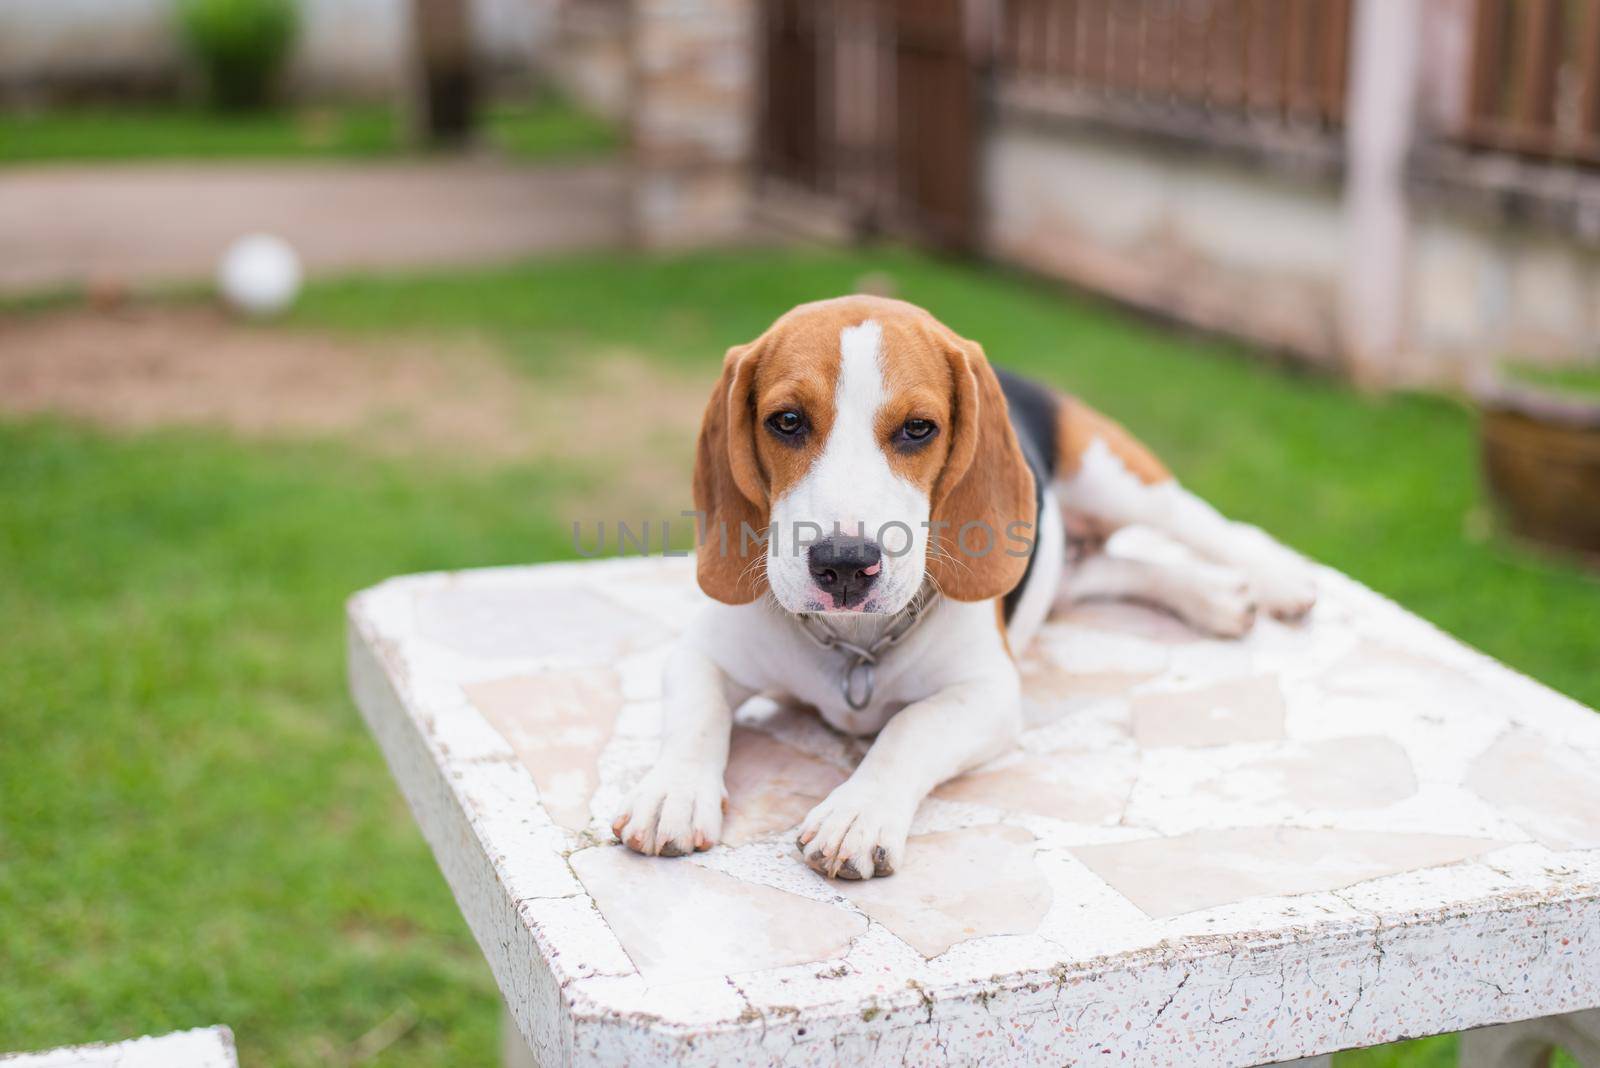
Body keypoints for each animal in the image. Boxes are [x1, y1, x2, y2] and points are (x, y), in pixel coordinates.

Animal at [611, 295, 1312, 882]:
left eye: (919, 428)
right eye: (786, 421)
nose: (845, 565)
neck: (856, 645)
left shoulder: (988, 694)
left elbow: (908, 728)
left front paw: (859, 811)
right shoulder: (701, 655)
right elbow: (697, 717)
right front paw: (672, 792)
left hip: (1117, 477)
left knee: (1210, 525)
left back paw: (1275, 580)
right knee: (1114, 569)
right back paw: (1215, 596)